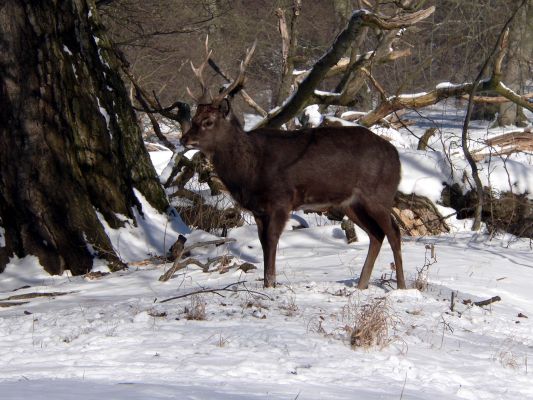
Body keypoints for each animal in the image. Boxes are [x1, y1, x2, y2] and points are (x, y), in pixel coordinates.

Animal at [181, 40, 406, 290]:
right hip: (351, 203)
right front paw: (268, 284)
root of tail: (396, 156)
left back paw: (402, 286)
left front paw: (270, 284)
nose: (184, 139)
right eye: (193, 119)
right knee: (377, 234)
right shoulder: (258, 208)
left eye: (208, 121)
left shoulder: (282, 200)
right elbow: (263, 243)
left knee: (394, 232)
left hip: (378, 194)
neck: (250, 170)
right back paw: (361, 285)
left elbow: (272, 241)